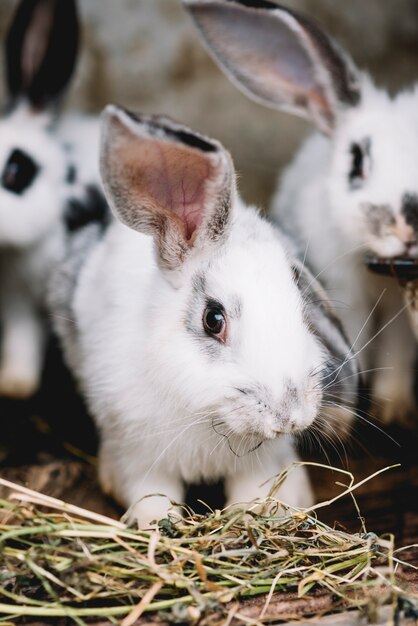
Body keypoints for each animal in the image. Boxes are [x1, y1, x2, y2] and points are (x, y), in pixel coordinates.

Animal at [49, 106, 360, 528]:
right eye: (213, 319)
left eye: (299, 301)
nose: (290, 416)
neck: (209, 415)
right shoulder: (139, 458)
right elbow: (151, 498)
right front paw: (158, 524)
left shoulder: (261, 464)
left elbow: (253, 494)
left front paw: (252, 517)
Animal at [184, 0, 418, 424]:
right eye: (356, 161)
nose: (409, 224)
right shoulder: (342, 287)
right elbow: (353, 340)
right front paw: (343, 419)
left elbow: (397, 350)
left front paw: (393, 409)